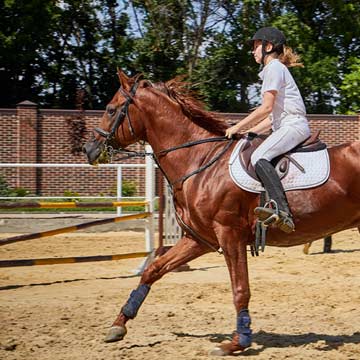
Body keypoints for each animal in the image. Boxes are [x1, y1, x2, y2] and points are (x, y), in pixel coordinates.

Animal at [83, 70, 360, 354]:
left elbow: (240, 288)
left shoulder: (230, 235)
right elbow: (154, 269)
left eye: (110, 109)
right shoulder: (199, 239)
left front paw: (238, 341)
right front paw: (118, 325)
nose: (89, 150)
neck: (200, 160)